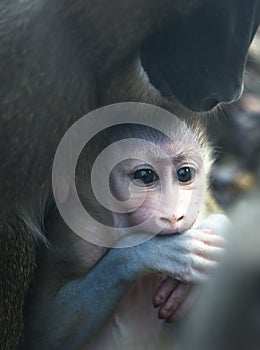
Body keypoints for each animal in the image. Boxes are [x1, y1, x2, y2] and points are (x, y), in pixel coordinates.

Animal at [23, 115, 228, 350]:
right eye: (145, 176)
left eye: (184, 174)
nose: (175, 215)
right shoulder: (77, 234)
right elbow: (44, 331)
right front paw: (152, 251)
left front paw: (220, 226)